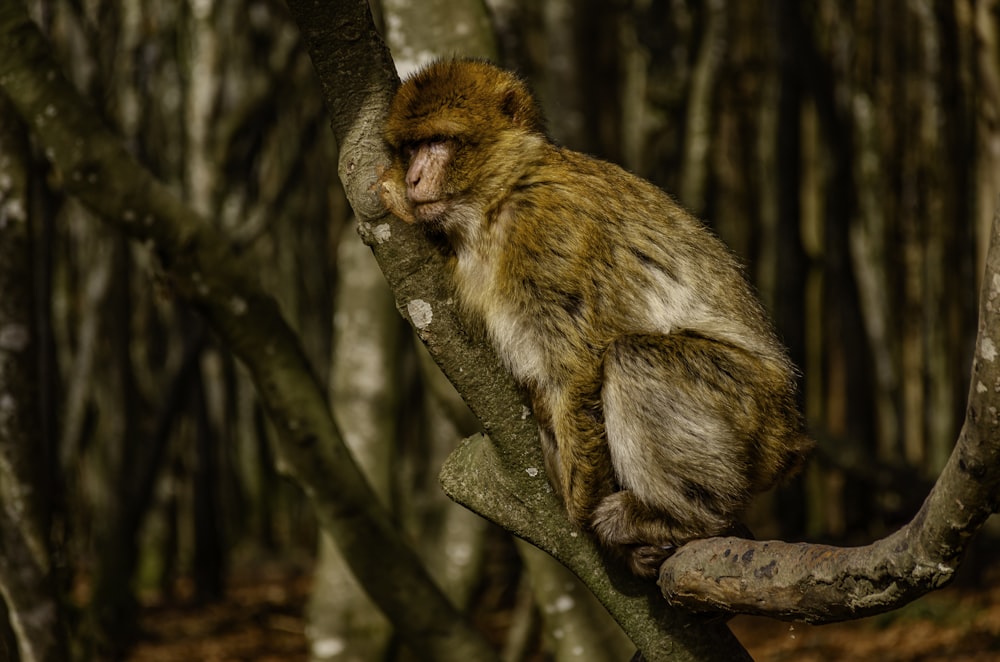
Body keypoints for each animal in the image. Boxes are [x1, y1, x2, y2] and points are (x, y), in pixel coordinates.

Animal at [376, 62, 812, 580]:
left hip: (753, 411)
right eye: (410, 148)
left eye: (438, 141)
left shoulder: (550, 230)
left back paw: (684, 518)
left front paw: (580, 511)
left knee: (634, 358)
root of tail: (789, 439)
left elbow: (577, 367)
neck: (498, 198)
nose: (415, 176)